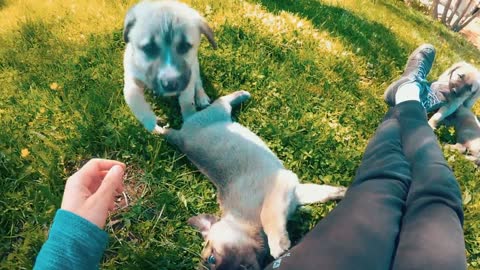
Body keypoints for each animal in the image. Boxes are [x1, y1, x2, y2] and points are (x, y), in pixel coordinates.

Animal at [123, 0, 217, 133]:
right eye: (149, 48)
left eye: (184, 46)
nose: (171, 84)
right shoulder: (131, 82)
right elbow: (136, 102)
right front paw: (151, 122)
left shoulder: (188, 80)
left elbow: (187, 102)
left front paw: (190, 120)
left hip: (195, 67)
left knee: (198, 83)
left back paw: (201, 98)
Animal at [156, 91, 346, 270]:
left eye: (211, 259)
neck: (242, 221)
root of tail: (183, 132)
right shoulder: (294, 191)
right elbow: (322, 192)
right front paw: (342, 191)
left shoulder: (282, 188)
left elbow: (268, 214)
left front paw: (277, 243)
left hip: (216, 112)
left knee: (221, 100)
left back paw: (241, 94)